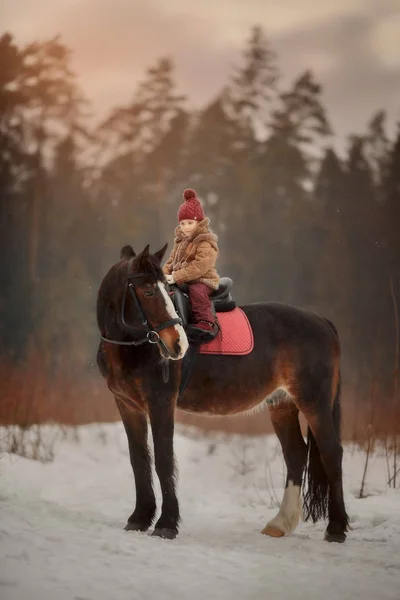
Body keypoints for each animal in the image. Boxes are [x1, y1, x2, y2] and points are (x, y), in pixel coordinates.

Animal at [95, 244, 348, 544]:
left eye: (163, 289)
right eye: (148, 291)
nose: (177, 344)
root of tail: (321, 321)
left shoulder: (160, 403)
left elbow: (164, 460)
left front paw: (166, 524)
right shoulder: (127, 405)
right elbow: (139, 460)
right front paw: (139, 518)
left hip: (314, 402)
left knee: (331, 453)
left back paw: (336, 528)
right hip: (282, 404)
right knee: (296, 454)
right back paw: (280, 523)